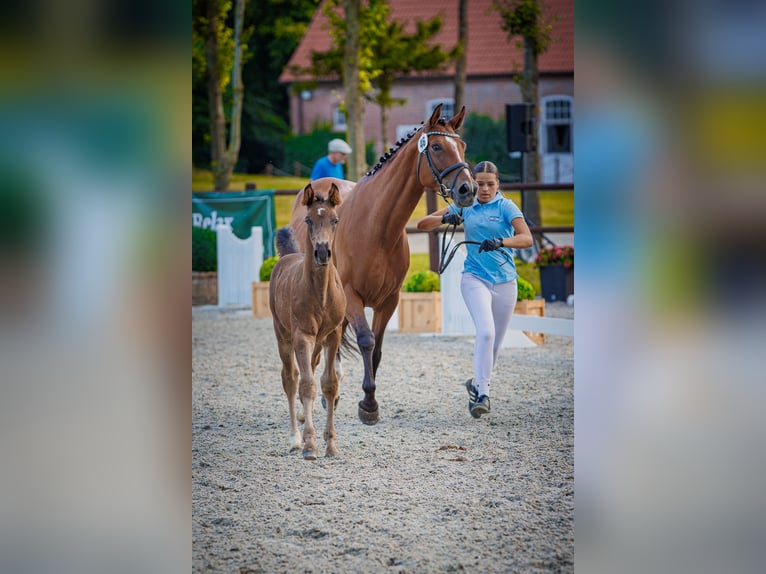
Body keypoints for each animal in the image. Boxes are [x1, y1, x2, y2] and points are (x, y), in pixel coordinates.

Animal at [269, 181, 346, 459]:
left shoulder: (333, 335)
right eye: (308, 220)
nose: (322, 252)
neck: (320, 293)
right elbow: (306, 385)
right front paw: (310, 445)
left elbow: (329, 384)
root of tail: (287, 256)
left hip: (317, 344)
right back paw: (295, 437)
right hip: (283, 335)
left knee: (310, 370)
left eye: (335, 220)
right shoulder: (302, 335)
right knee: (290, 379)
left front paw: (331, 445)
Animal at [289, 104, 477, 425]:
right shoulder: (351, 295)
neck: (376, 226)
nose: (468, 189)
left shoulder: (389, 300)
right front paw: (368, 404)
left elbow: (376, 349)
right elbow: (366, 340)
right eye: (436, 147)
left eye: (462, 146)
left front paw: (368, 400)